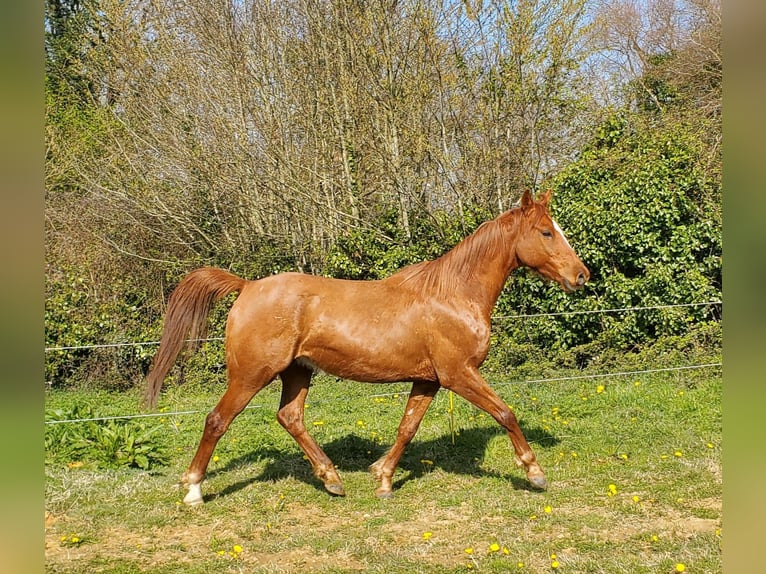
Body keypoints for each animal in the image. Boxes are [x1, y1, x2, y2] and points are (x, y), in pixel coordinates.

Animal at [145, 190, 589, 505]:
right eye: (546, 232)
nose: (581, 276)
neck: (453, 294)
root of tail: (248, 286)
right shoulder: (459, 374)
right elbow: (505, 412)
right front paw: (534, 473)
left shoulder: (428, 380)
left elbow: (407, 427)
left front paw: (384, 479)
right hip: (251, 374)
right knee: (217, 420)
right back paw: (193, 490)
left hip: (297, 372)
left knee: (290, 417)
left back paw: (332, 480)